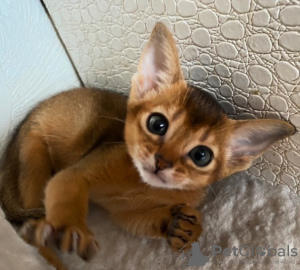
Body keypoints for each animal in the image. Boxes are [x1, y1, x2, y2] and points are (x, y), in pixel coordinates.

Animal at [0, 23, 296, 270]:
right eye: (157, 124)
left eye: (201, 155)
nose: (162, 161)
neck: (139, 187)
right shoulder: (75, 174)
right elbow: (65, 192)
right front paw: (71, 228)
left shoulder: (124, 214)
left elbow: (142, 222)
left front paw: (179, 227)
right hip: (33, 160)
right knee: (32, 230)